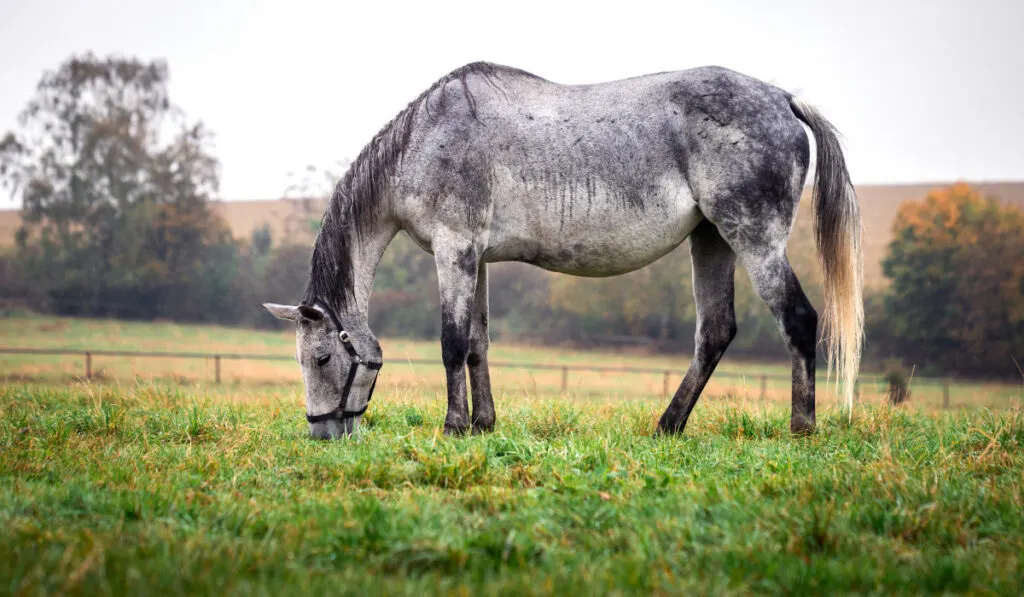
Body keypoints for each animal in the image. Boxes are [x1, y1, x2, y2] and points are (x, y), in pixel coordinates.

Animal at [260, 62, 860, 442]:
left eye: (320, 358)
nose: (323, 433)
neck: (425, 141)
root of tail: (782, 98)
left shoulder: (454, 252)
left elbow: (452, 343)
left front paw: (452, 427)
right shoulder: (476, 259)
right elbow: (477, 343)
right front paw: (483, 424)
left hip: (753, 238)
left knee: (798, 319)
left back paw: (801, 427)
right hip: (712, 240)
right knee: (715, 331)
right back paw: (667, 426)